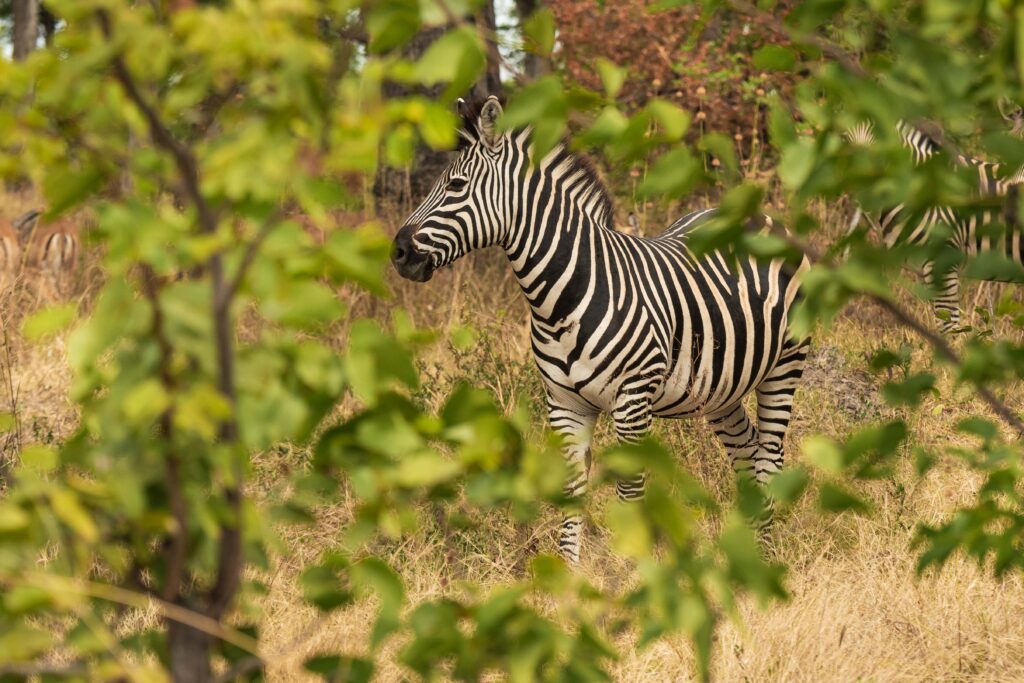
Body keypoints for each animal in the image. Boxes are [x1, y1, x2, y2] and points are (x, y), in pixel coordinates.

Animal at [391, 95, 809, 562]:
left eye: (457, 186)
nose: (398, 252)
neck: (561, 299)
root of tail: (761, 217)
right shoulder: (565, 404)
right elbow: (571, 490)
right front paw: (568, 573)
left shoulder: (632, 402)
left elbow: (630, 492)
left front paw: (637, 569)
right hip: (721, 387)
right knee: (747, 451)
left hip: (785, 365)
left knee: (769, 454)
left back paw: (768, 556)